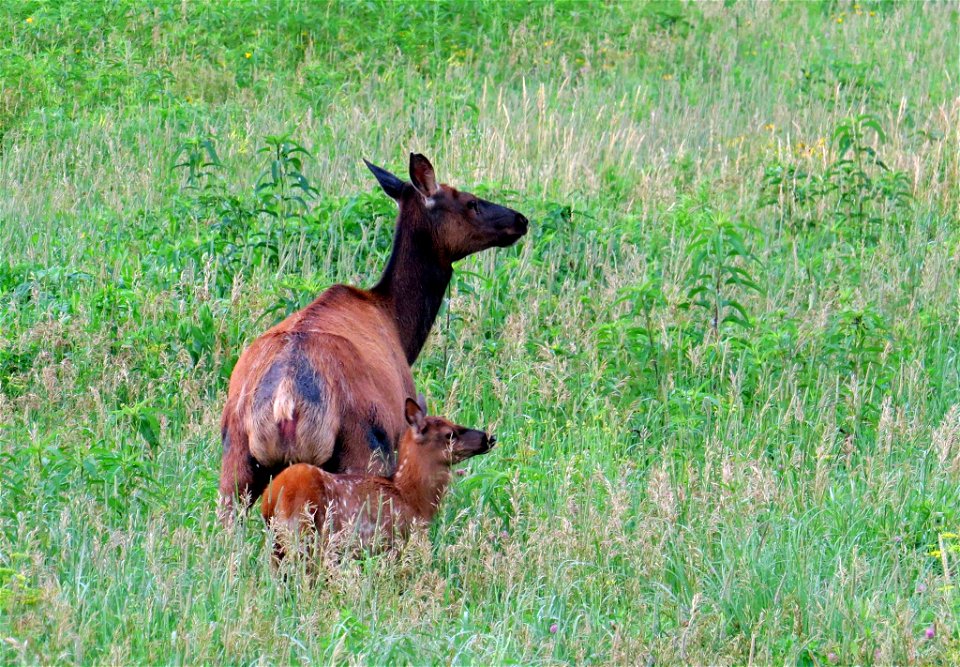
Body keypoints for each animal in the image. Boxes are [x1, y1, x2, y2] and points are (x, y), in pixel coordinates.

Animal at [219, 154, 524, 520]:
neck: (397, 323)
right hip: (362, 447)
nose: (521, 220)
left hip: (235, 457)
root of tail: (285, 399)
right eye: (470, 202)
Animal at [260, 396, 496, 560]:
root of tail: (271, 498)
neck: (411, 497)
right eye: (450, 434)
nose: (490, 437)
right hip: (305, 532)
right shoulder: (396, 540)